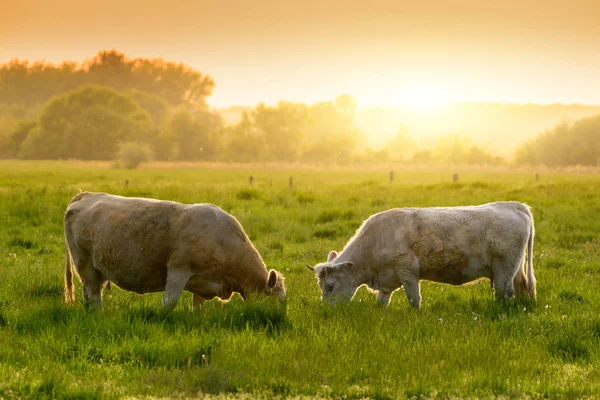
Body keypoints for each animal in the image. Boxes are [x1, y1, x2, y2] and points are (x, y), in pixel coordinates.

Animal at [63, 192, 286, 310]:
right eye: (279, 302)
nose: (281, 322)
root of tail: (86, 195)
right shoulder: (179, 271)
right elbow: (169, 303)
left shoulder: (204, 282)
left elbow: (197, 307)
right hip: (84, 263)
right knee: (93, 294)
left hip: (97, 269)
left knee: (89, 293)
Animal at [308, 200, 536, 310]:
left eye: (330, 286)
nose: (325, 310)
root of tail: (514, 205)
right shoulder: (387, 280)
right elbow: (382, 302)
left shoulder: (407, 271)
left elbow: (413, 299)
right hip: (515, 269)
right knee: (522, 287)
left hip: (504, 271)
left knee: (504, 294)